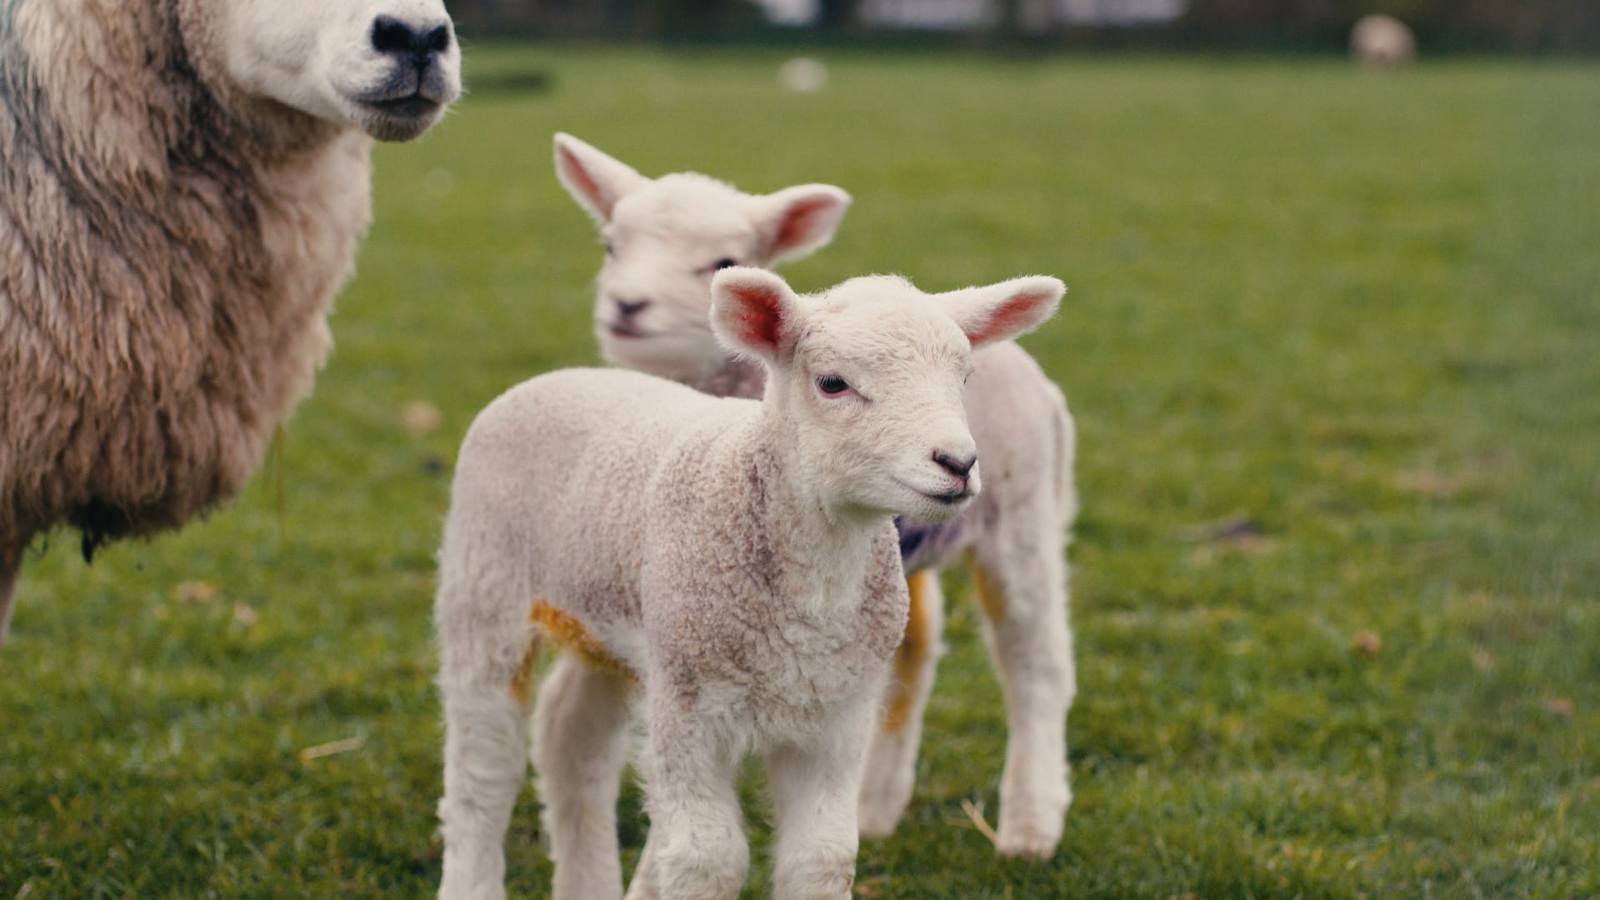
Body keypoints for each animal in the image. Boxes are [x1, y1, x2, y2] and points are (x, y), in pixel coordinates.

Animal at [433, 265, 1064, 899]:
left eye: (965, 377)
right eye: (832, 383)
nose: (958, 463)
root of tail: (558, 377)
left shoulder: (837, 714)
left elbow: (822, 857)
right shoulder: (690, 704)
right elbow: (707, 860)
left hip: (611, 622)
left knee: (571, 740)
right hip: (485, 587)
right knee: (481, 772)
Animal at [553, 134, 1079, 858]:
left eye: (723, 261)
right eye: (611, 245)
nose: (628, 307)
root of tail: (1031, 371)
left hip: (1023, 511)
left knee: (1035, 662)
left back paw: (1029, 825)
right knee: (916, 650)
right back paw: (877, 806)